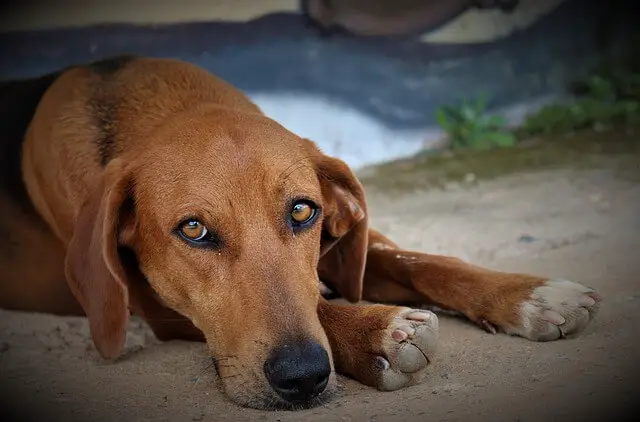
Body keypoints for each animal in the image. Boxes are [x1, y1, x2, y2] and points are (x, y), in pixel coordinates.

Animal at [0, 56, 600, 408]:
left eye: (302, 212)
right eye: (192, 229)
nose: (304, 378)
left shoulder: (342, 249)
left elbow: (420, 261)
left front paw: (529, 294)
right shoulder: (159, 309)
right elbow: (326, 306)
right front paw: (376, 331)